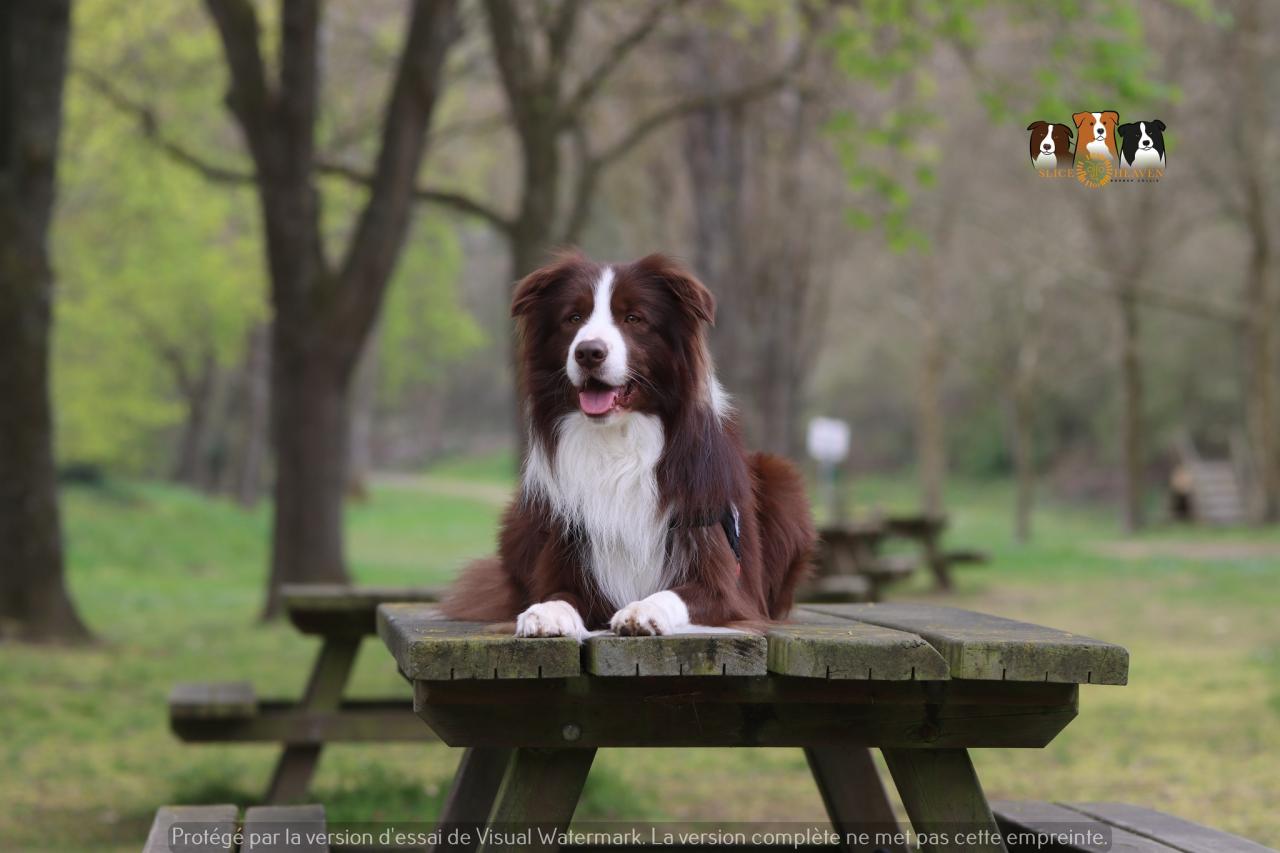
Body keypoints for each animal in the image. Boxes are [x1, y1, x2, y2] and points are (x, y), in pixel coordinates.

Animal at [445, 249, 814, 635]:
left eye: (634, 318)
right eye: (573, 318)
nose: (588, 352)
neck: (618, 444)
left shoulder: (727, 585)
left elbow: (676, 594)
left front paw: (642, 610)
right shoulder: (572, 550)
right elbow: (559, 593)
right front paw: (545, 612)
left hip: (781, 478)